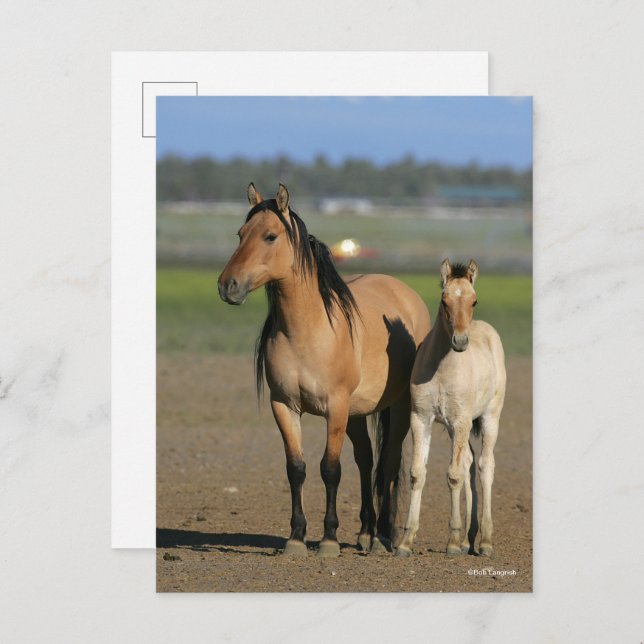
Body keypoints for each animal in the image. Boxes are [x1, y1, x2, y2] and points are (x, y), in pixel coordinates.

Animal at [217, 183, 431, 557]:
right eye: (240, 234)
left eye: (270, 236)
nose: (227, 285)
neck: (308, 330)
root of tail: (406, 294)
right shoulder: (284, 406)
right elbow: (296, 469)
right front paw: (296, 538)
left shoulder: (336, 407)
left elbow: (330, 469)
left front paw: (329, 539)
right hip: (357, 414)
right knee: (366, 460)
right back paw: (365, 533)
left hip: (399, 407)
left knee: (388, 462)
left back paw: (384, 537)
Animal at [396, 259, 506, 558]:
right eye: (444, 301)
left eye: (474, 301)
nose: (460, 342)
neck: (442, 370)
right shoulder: (421, 419)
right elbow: (417, 473)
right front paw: (406, 542)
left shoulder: (461, 421)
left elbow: (453, 476)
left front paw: (453, 543)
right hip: (454, 428)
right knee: (469, 461)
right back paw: (470, 538)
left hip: (489, 418)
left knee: (485, 465)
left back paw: (485, 542)